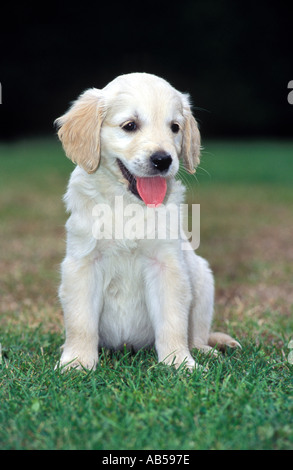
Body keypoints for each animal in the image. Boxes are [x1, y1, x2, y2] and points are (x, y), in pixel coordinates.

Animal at [54, 72, 240, 370]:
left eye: (175, 127)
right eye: (130, 125)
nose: (163, 160)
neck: (129, 204)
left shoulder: (167, 264)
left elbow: (172, 321)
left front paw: (179, 363)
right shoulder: (83, 263)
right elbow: (81, 321)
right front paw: (77, 362)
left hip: (202, 278)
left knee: (198, 333)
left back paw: (206, 349)